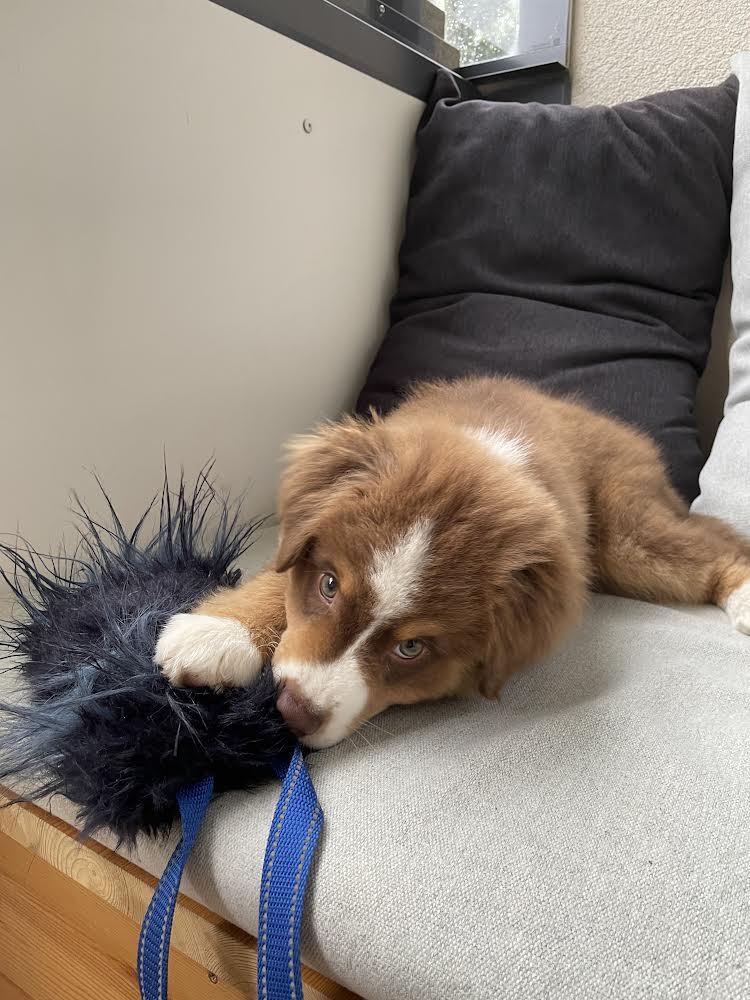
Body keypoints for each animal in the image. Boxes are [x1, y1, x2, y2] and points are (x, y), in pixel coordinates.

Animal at [155, 377, 750, 748]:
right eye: (328, 585)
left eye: (411, 648)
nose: (292, 710)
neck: (483, 456)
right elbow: (276, 580)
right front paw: (218, 633)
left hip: (629, 535)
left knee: (713, 540)